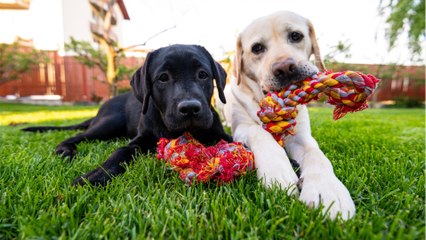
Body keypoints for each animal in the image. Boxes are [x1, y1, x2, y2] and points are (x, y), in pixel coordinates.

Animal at [22, 44, 233, 186]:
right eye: (163, 78)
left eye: (203, 74)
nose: (190, 108)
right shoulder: (140, 139)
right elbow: (120, 151)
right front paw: (95, 175)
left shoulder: (219, 133)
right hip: (109, 123)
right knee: (76, 136)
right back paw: (65, 150)